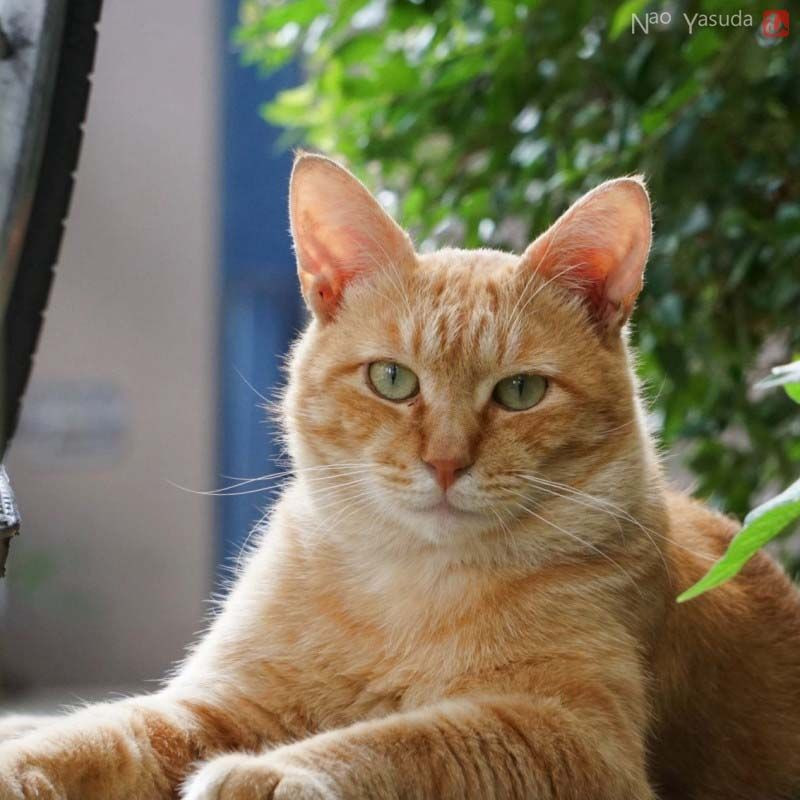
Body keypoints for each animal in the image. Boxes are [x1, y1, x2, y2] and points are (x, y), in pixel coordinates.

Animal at [1, 153, 800, 800]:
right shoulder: (225, 703)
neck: (409, 589)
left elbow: (407, 739)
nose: (445, 462)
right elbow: (104, 734)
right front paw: (25, 761)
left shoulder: (573, 736)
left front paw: (273, 772)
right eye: (392, 379)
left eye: (520, 392)